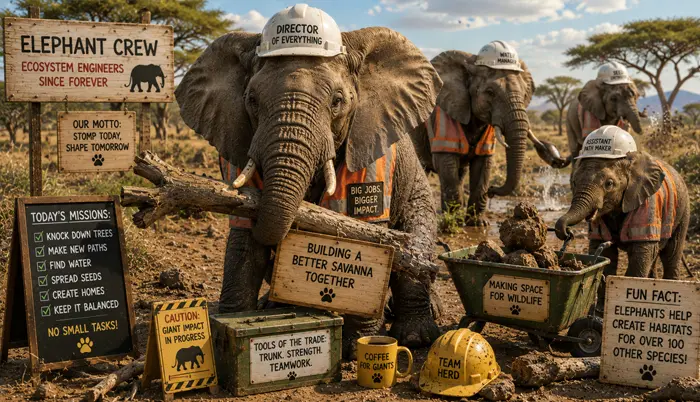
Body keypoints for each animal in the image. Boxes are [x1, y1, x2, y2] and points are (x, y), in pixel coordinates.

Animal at [175, 28, 443, 358]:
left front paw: (357, 346)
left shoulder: (369, 146)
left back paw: (416, 335)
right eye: (251, 100)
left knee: (414, 242)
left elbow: (366, 237)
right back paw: (273, 306)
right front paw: (228, 328)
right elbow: (245, 237)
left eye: (337, 101)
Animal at [410, 50, 549, 226]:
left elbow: (483, 166)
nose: (492, 190)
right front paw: (452, 224)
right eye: (490, 92)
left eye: (524, 95)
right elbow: (447, 166)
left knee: (460, 174)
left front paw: (478, 223)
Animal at [555, 151, 689, 309]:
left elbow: (641, 254)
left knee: (671, 253)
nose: (566, 232)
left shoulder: (647, 204)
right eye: (574, 182)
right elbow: (606, 254)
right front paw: (601, 310)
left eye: (609, 184)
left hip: (683, 210)